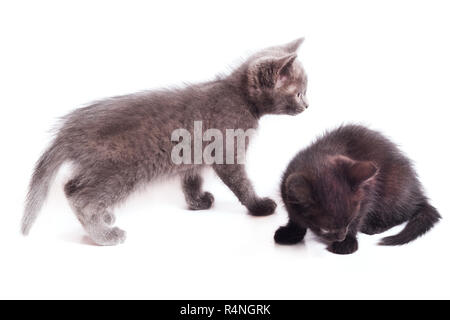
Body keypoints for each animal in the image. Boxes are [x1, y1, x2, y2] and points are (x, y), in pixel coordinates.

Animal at [22, 39, 310, 245]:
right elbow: (241, 183)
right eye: (299, 93)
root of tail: (69, 131)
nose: (308, 105)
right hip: (119, 171)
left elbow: (191, 180)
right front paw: (258, 205)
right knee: (82, 198)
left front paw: (197, 202)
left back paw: (104, 216)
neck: (239, 96)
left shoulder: (193, 154)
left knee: (71, 186)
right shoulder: (226, 150)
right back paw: (104, 235)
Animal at [274, 125, 440, 255]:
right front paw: (291, 232)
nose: (341, 237)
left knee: (402, 214)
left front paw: (346, 242)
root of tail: (418, 194)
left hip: (393, 191)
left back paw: (375, 226)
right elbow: (294, 217)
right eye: (326, 229)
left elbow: (360, 216)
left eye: (349, 221)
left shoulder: (366, 195)